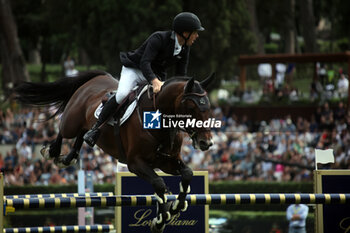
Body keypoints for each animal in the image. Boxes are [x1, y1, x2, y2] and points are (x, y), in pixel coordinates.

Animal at [13, 71, 213, 233]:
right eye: (191, 107)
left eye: (208, 107)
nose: (207, 142)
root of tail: (97, 77)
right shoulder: (135, 163)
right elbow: (159, 183)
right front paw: (160, 220)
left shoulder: (167, 162)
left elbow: (187, 174)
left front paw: (176, 206)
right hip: (72, 120)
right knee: (64, 129)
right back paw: (53, 152)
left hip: (85, 125)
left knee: (83, 134)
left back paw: (69, 158)